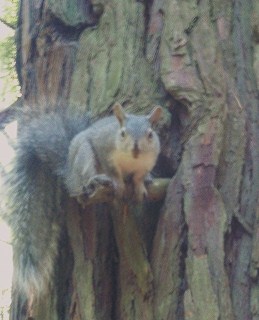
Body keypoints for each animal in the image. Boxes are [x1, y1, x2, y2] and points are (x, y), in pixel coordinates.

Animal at [3, 102, 162, 298]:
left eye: (150, 134)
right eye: (123, 133)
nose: (136, 149)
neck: (131, 162)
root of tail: (69, 173)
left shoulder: (145, 164)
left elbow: (139, 177)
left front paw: (140, 186)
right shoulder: (105, 152)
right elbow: (114, 172)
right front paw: (118, 184)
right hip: (85, 156)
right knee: (87, 178)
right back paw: (98, 179)